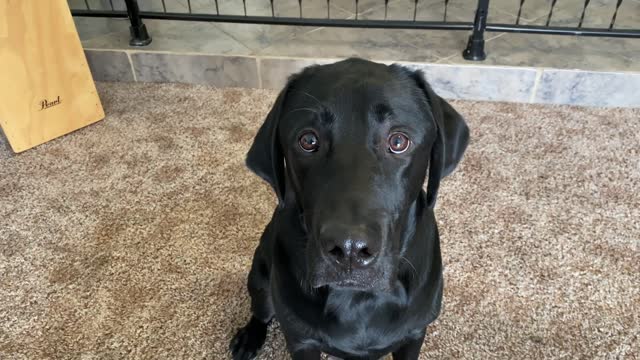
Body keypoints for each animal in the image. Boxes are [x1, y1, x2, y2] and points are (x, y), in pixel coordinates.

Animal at [230, 57, 470, 358]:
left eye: (398, 141)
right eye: (308, 140)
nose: (349, 250)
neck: (359, 298)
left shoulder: (414, 334)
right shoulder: (301, 341)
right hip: (259, 278)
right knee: (261, 310)